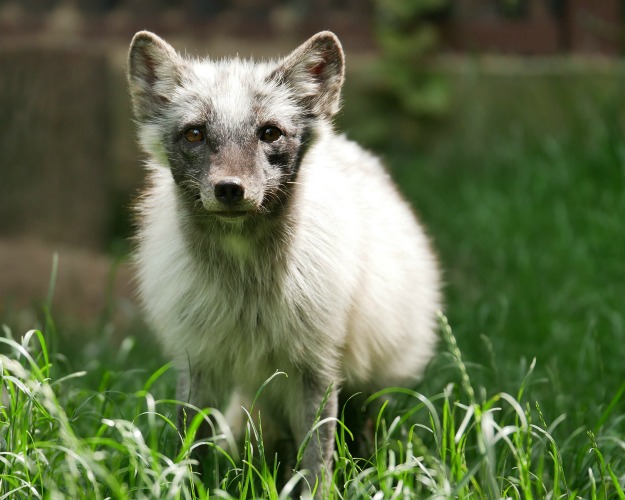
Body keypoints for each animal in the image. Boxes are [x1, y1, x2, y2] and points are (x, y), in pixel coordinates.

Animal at [128, 30, 438, 492]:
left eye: (270, 133)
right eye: (195, 134)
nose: (230, 189)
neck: (245, 290)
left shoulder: (316, 369)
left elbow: (318, 461)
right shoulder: (198, 362)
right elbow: (191, 451)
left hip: (364, 387)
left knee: (360, 437)